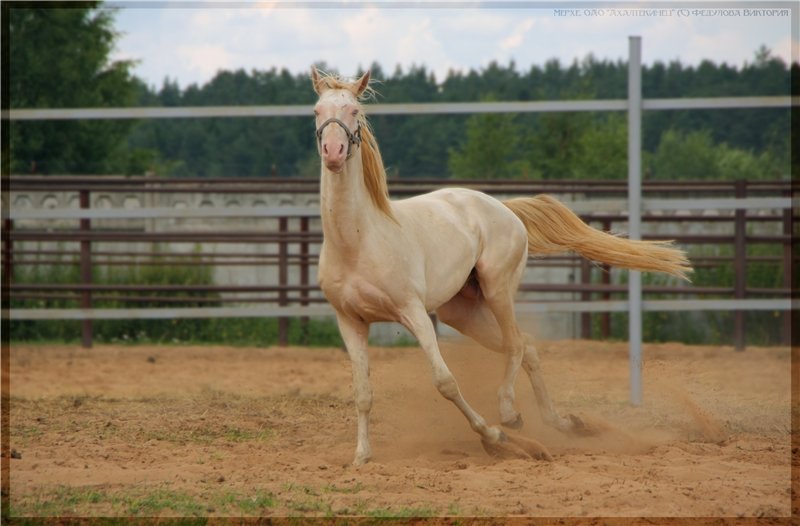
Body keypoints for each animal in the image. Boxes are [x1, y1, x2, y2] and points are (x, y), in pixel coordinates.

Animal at [310, 68, 692, 468]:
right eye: (317, 111)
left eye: (353, 110)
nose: (333, 153)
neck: (357, 242)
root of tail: (504, 208)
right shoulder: (351, 321)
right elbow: (363, 392)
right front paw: (361, 457)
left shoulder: (412, 312)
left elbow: (445, 381)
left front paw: (495, 436)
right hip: (462, 313)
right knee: (528, 347)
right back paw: (565, 423)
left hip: (498, 290)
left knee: (515, 344)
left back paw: (510, 414)